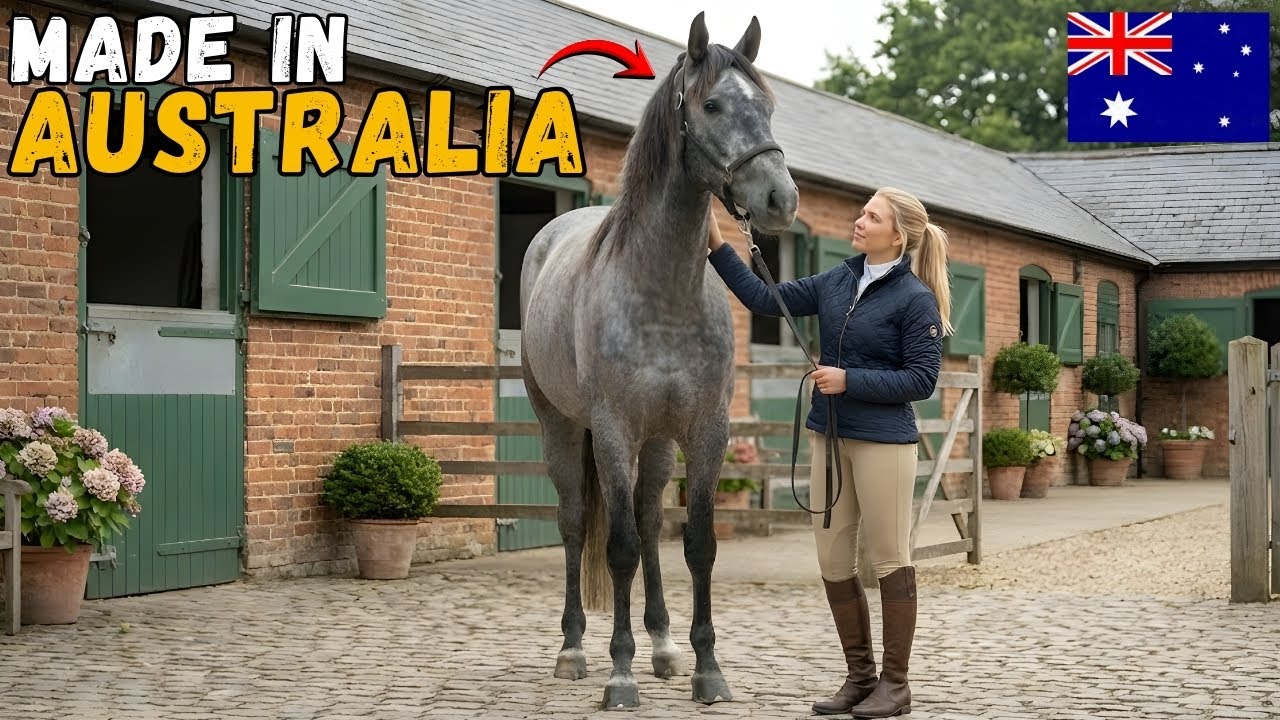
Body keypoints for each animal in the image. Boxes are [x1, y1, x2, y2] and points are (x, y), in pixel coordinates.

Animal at [518, 12, 798, 710]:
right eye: (713, 104)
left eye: (768, 105)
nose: (781, 199)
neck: (663, 290)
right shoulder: (615, 430)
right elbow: (616, 547)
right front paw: (619, 675)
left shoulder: (705, 431)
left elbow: (696, 544)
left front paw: (706, 669)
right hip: (562, 428)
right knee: (575, 523)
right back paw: (573, 650)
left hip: (659, 442)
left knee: (648, 522)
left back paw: (665, 646)